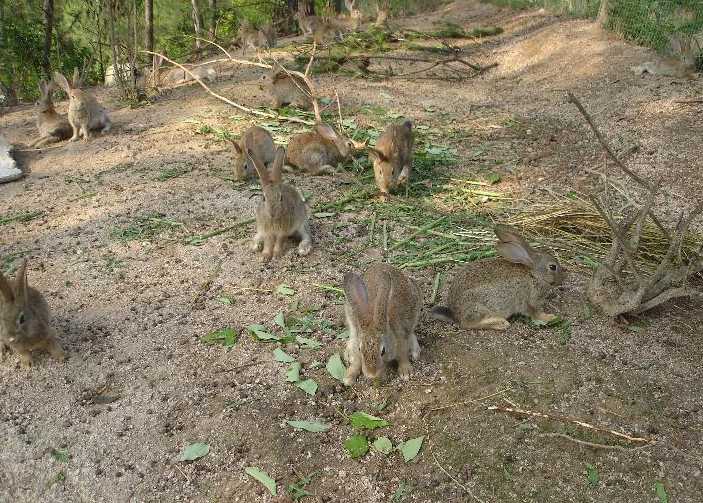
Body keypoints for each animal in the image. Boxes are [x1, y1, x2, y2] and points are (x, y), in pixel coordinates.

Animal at [428, 225, 568, 330]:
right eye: (553, 267)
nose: (563, 278)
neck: (534, 274)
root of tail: (455, 314)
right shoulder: (529, 301)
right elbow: (535, 314)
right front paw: (550, 317)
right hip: (478, 307)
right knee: (468, 324)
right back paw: (500, 323)